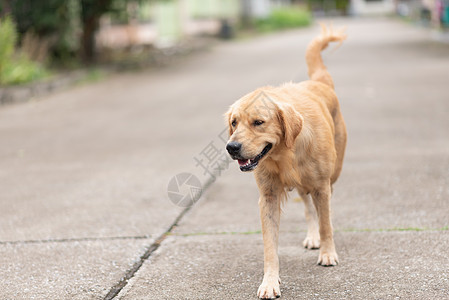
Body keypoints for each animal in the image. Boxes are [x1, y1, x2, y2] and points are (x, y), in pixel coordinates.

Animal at [224, 27, 346, 298]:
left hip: (332, 176)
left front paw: (328, 253)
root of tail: (319, 82)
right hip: (305, 186)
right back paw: (312, 237)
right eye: (234, 122)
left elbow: (326, 223)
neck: (284, 153)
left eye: (258, 122)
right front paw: (270, 281)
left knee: (324, 210)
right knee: (309, 208)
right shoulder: (268, 197)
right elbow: (270, 246)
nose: (231, 147)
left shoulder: (321, 186)